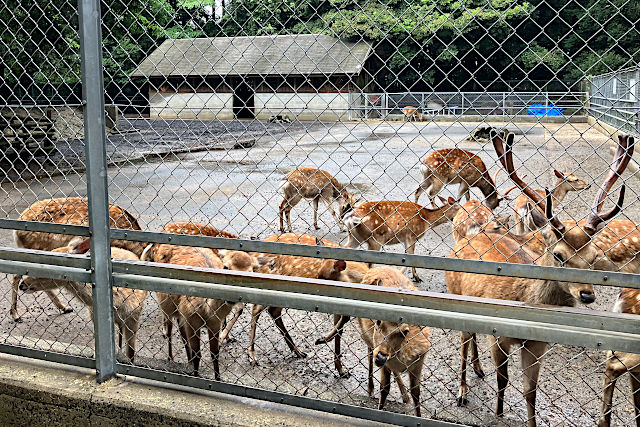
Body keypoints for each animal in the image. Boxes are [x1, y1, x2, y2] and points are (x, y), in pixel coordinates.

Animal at [444, 130, 631, 427]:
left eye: (593, 256)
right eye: (558, 255)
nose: (587, 294)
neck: (523, 297)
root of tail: (468, 237)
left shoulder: (537, 343)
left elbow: (530, 390)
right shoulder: (498, 335)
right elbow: (503, 379)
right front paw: (498, 413)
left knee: (472, 337)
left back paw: (478, 369)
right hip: (454, 293)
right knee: (463, 342)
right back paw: (462, 392)